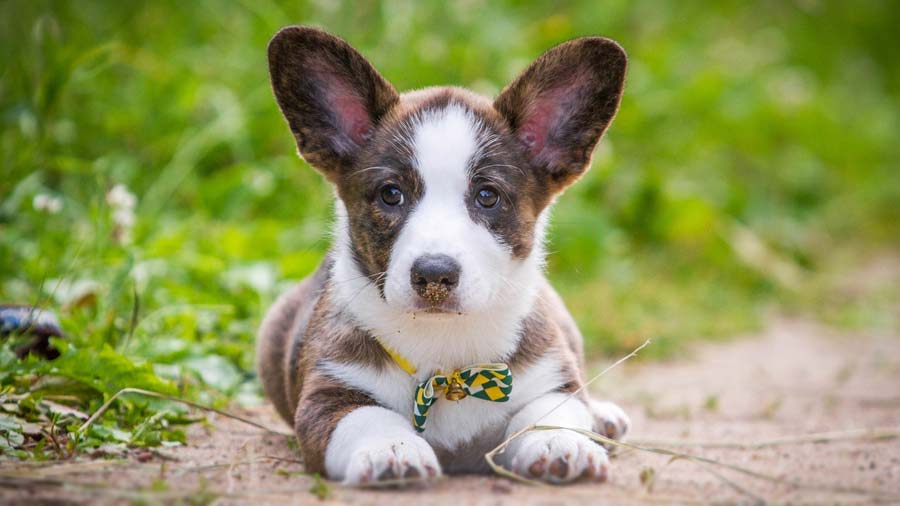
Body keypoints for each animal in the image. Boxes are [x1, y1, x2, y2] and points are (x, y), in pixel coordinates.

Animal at [256, 27, 628, 486]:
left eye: (487, 196)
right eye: (391, 194)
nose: (434, 274)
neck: (446, 355)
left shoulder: (550, 378)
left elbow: (551, 411)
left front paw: (561, 444)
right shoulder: (327, 395)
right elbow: (367, 417)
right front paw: (391, 450)